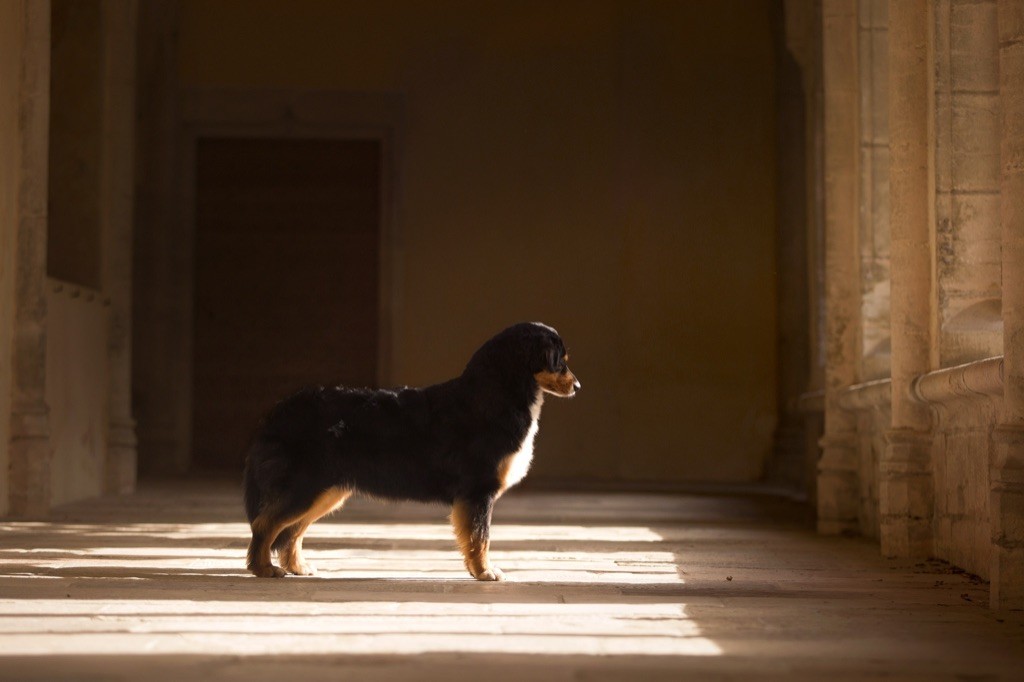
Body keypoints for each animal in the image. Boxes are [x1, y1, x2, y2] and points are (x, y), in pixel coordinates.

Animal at [239, 321, 577, 577]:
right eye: (559, 360)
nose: (578, 386)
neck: (495, 394)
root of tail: (278, 410)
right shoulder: (478, 491)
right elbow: (480, 538)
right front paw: (485, 572)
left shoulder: (474, 495)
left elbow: (473, 538)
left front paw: (477, 570)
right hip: (306, 486)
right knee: (266, 523)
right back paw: (263, 568)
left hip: (325, 491)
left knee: (291, 531)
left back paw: (296, 567)